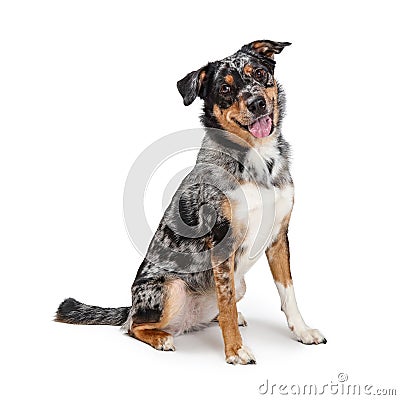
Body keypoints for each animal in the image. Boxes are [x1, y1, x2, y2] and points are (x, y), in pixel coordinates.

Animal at [55, 40, 324, 366]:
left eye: (259, 73)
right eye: (225, 88)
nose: (257, 103)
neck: (257, 158)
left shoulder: (279, 236)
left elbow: (288, 292)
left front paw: (303, 330)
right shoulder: (221, 241)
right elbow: (226, 303)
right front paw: (235, 351)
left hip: (240, 284)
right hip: (170, 289)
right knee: (132, 326)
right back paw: (161, 338)